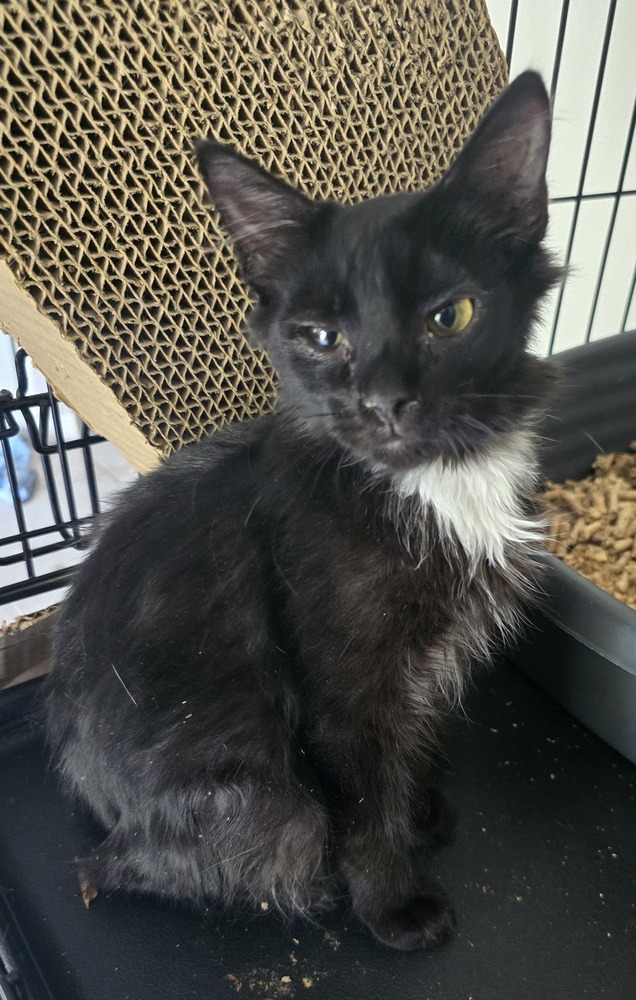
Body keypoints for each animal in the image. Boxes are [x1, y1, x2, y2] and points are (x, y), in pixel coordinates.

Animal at [47, 74, 560, 948]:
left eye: (450, 316)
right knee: (112, 868)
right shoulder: (342, 679)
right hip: (259, 796)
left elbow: (411, 743)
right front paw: (393, 899)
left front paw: (419, 811)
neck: (433, 484)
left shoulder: (422, 664)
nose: (383, 402)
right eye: (321, 338)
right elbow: (362, 792)